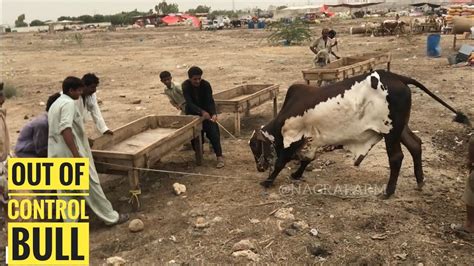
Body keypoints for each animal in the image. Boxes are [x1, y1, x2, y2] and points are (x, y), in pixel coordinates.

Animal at [250, 70, 468, 197]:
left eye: (254, 146)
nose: (259, 168)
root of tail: (397, 77)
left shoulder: (292, 139)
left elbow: (281, 162)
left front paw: (267, 181)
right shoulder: (312, 141)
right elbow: (306, 160)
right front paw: (296, 174)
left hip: (390, 132)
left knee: (396, 157)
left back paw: (388, 192)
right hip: (400, 128)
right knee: (415, 145)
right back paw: (420, 181)